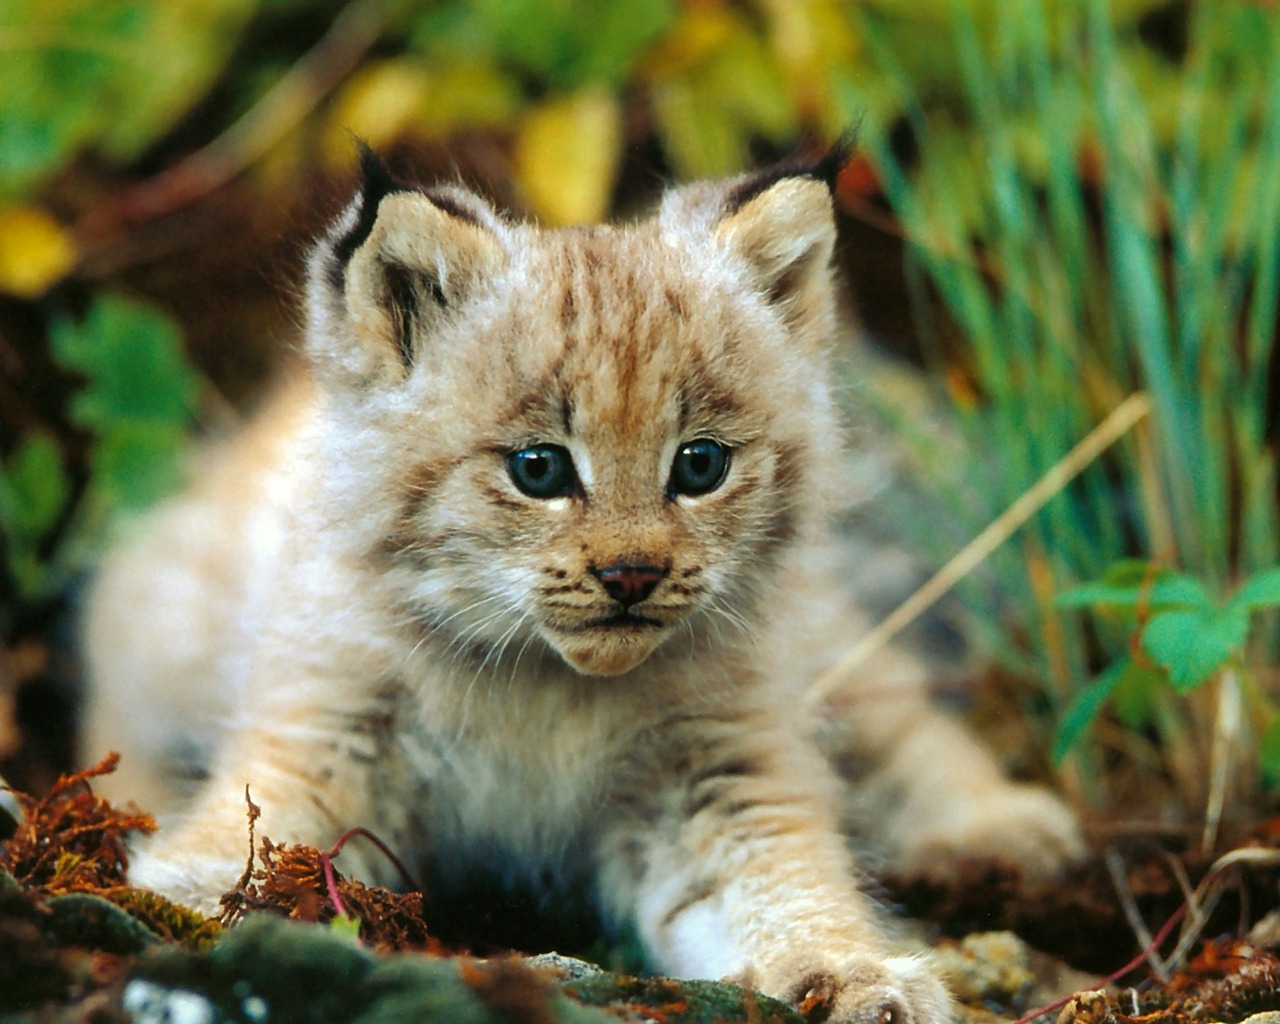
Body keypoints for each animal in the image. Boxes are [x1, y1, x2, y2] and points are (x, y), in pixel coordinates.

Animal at [80, 145, 1080, 1024]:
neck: (543, 681)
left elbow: (782, 877)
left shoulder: (719, 763)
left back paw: (999, 830)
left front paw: (855, 970)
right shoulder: (325, 726)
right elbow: (262, 819)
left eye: (702, 464)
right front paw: (184, 887)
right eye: (539, 469)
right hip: (165, 622)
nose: (632, 574)